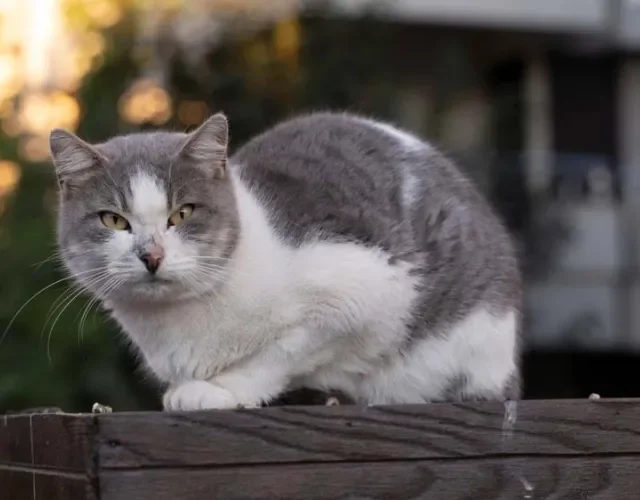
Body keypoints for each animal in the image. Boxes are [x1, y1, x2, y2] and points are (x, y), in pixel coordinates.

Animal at [48, 112, 520, 410]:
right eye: (113, 220)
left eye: (182, 214)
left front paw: (217, 390)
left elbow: (280, 354)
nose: (152, 254)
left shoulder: (363, 295)